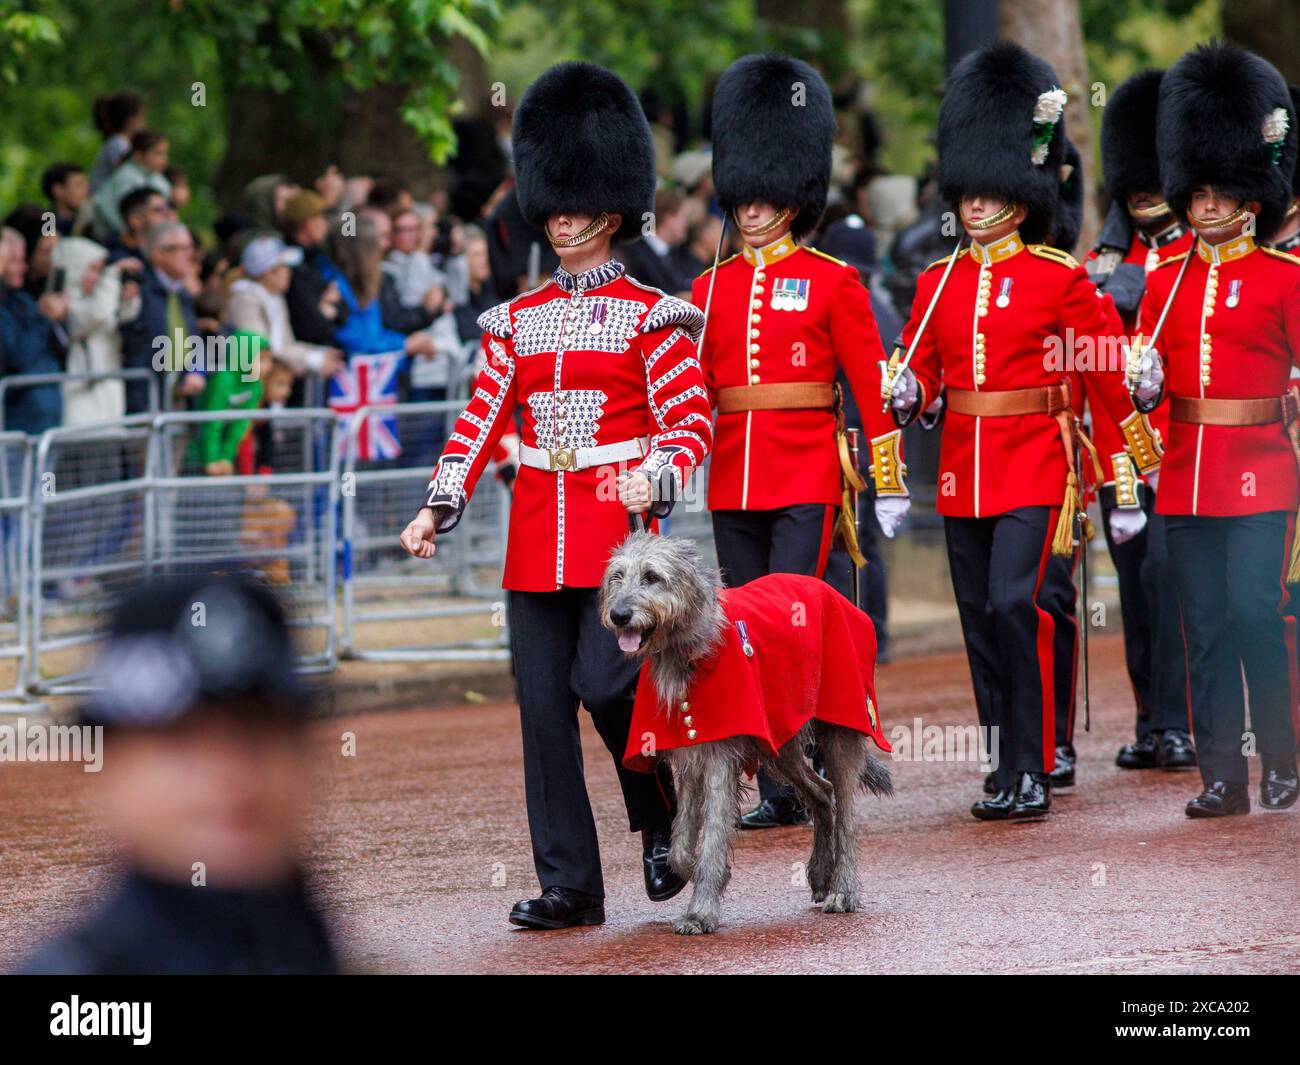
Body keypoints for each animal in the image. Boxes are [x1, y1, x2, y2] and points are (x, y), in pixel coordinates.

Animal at [600, 533, 894, 931]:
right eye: (617, 576)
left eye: (651, 577)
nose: (619, 615)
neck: (692, 649)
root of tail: (837, 596)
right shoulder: (692, 749)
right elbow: (681, 844)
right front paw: (696, 872)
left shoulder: (720, 756)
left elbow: (712, 833)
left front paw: (700, 910)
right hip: (780, 742)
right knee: (822, 792)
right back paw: (820, 873)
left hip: (843, 721)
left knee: (845, 808)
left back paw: (844, 889)